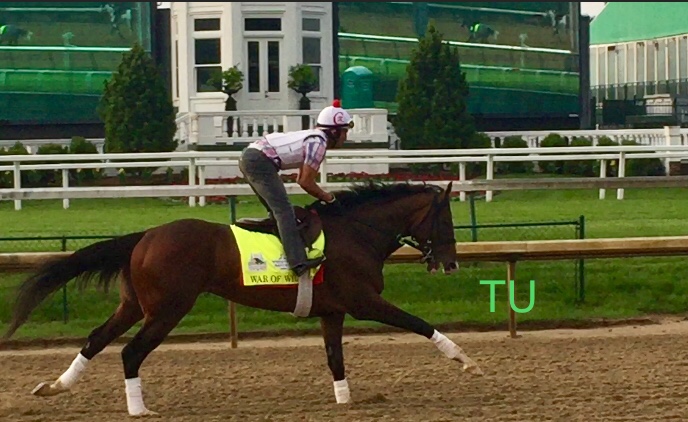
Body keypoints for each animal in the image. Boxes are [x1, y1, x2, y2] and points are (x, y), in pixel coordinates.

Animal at [1, 180, 484, 418]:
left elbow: (335, 358)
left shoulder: (332, 310)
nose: (450, 263)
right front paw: (466, 360)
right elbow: (420, 324)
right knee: (130, 352)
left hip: (135, 304)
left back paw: (56, 386)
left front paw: (346, 401)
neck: (356, 233)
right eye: (446, 219)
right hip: (169, 307)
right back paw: (139, 409)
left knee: (96, 339)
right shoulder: (363, 301)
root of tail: (145, 236)